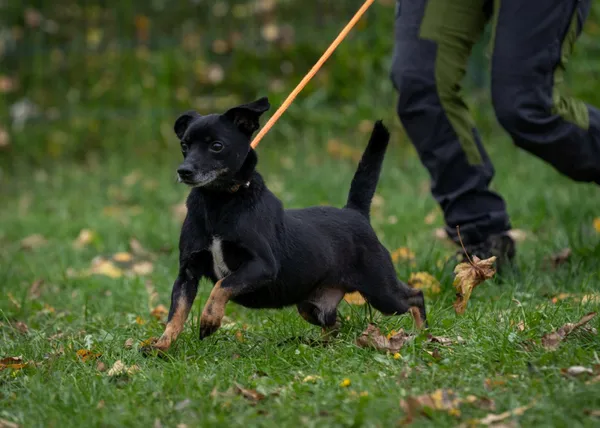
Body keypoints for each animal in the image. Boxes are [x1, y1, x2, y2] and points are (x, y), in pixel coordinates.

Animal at [150, 98, 426, 352]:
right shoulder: (187, 273)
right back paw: (320, 346)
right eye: (184, 145)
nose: (184, 171)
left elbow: (221, 285)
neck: (219, 202)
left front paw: (210, 319)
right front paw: (162, 346)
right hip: (311, 306)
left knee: (415, 297)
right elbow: (176, 313)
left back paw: (421, 335)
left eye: (217, 146)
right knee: (335, 323)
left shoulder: (262, 265)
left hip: (381, 291)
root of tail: (355, 212)